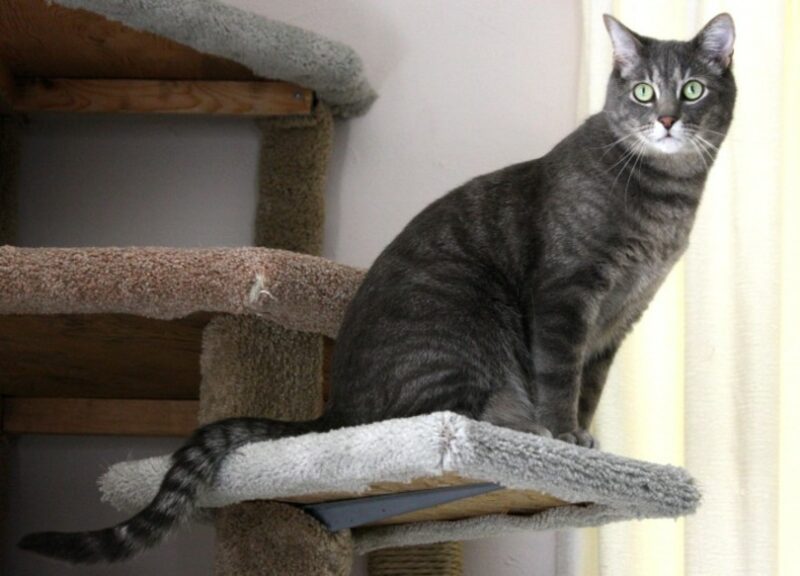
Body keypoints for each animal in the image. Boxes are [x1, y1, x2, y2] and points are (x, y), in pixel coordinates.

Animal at [20, 13, 736, 564]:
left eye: (691, 89)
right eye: (642, 92)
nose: (666, 118)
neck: (664, 201)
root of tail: (333, 414)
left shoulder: (619, 317)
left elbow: (589, 388)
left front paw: (590, 452)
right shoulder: (566, 297)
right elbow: (561, 376)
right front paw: (561, 438)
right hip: (459, 330)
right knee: (432, 417)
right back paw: (519, 429)